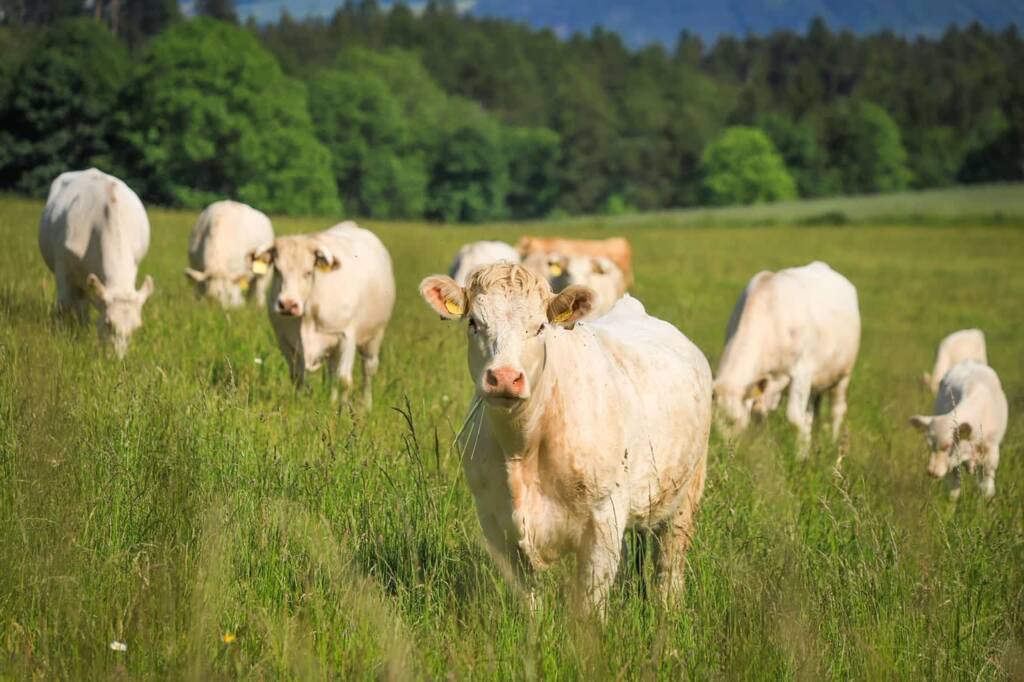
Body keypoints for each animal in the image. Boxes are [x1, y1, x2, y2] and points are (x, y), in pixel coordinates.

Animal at [252, 221, 395, 407]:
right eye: (277, 270)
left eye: (308, 272)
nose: (288, 305)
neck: (308, 312)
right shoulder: (284, 340)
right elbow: (298, 377)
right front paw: (299, 406)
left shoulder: (346, 337)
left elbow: (344, 381)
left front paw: (343, 411)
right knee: (332, 372)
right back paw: (332, 402)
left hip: (374, 336)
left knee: (368, 370)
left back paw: (366, 405)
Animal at [418, 262, 712, 614]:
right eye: (474, 322)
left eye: (540, 326)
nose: (504, 377)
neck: (522, 447)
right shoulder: (495, 519)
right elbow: (530, 600)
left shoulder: (603, 518)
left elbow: (590, 604)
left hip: (686, 494)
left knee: (669, 566)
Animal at [713, 261, 860, 455]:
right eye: (713, 424)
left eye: (733, 420)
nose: (725, 451)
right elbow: (761, 416)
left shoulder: (802, 372)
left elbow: (794, 417)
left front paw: (801, 455)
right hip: (815, 386)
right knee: (812, 413)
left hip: (843, 375)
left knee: (837, 410)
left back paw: (832, 443)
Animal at [909, 361, 1007, 499]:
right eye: (929, 445)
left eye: (948, 446)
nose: (932, 472)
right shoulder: (954, 462)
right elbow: (954, 488)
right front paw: (951, 504)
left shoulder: (991, 453)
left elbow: (986, 487)